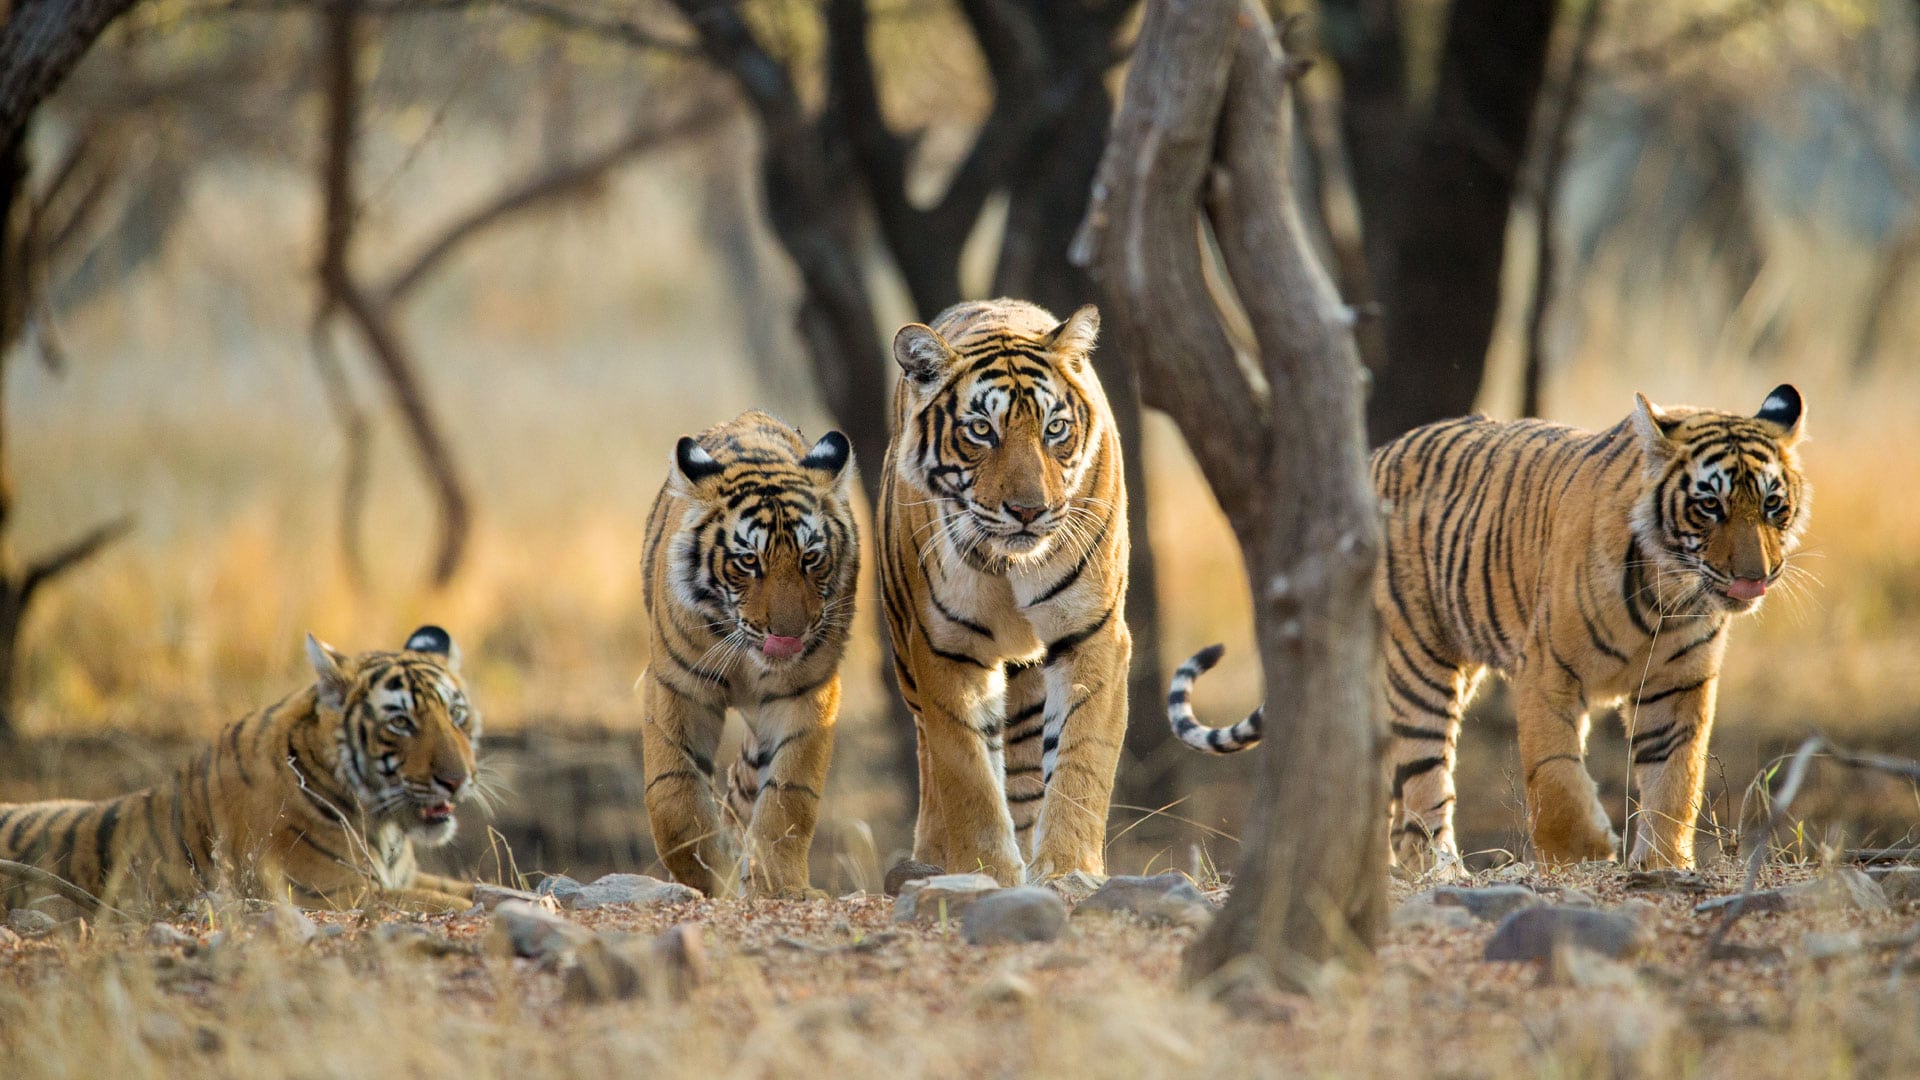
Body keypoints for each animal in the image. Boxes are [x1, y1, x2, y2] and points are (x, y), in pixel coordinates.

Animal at [0, 626, 481, 914]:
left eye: (457, 715)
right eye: (401, 723)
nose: (457, 781)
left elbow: (476, 889)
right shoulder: (332, 893)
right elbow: (450, 902)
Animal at [637, 410, 859, 899]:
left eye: (810, 558)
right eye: (748, 561)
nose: (789, 636)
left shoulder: (807, 693)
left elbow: (788, 798)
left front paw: (779, 887)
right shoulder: (677, 687)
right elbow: (674, 798)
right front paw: (709, 877)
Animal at [880, 298, 1130, 886]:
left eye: (1055, 428)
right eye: (981, 430)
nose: (1028, 511)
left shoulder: (1092, 633)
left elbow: (1081, 759)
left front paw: (1068, 869)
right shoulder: (945, 647)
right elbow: (966, 772)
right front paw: (986, 870)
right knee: (932, 759)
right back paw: (930, 857)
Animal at [1169, 386, 1810, 872]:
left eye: (1772, 506)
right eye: (1710, 507)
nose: (1756, 577)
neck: (1668, 594)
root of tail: (1372, 458)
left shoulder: (1678, 686)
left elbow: (1676, 778)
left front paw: (1664, 864)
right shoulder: (1547, 670)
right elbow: (1554, 773)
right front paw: (1582, 853)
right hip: (1419, 665)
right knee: (1424, 783)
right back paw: (1441, 871)